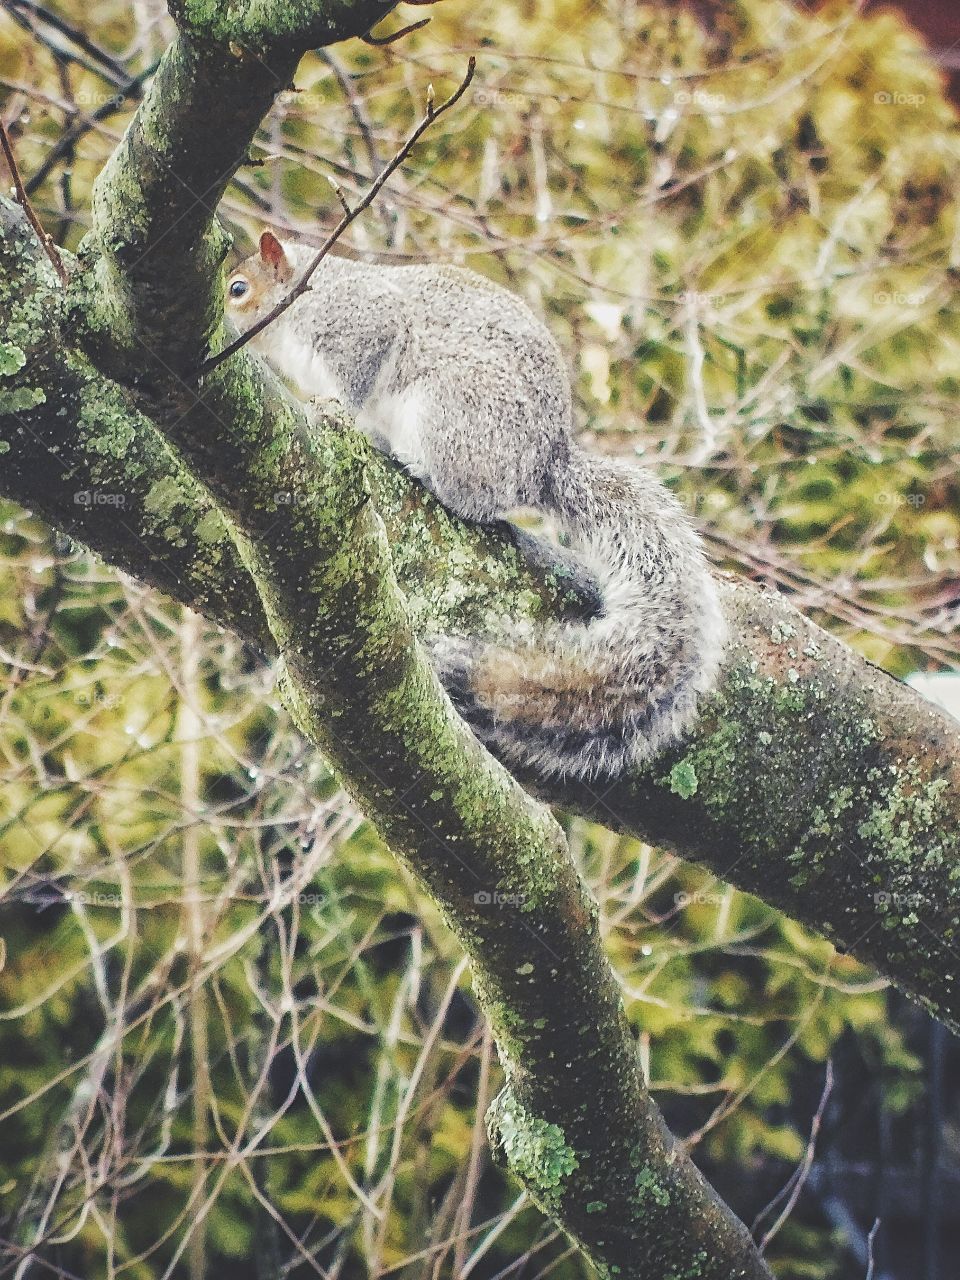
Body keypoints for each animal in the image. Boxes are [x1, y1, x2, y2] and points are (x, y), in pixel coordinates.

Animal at [225, 230, 727, 782]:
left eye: (237, 289)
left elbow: (357, 378)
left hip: (450, 411)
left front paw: (341, 414)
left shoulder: (360, 322)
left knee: (471, 497)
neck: (305, 295)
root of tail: (543, 467)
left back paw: (417, 467)